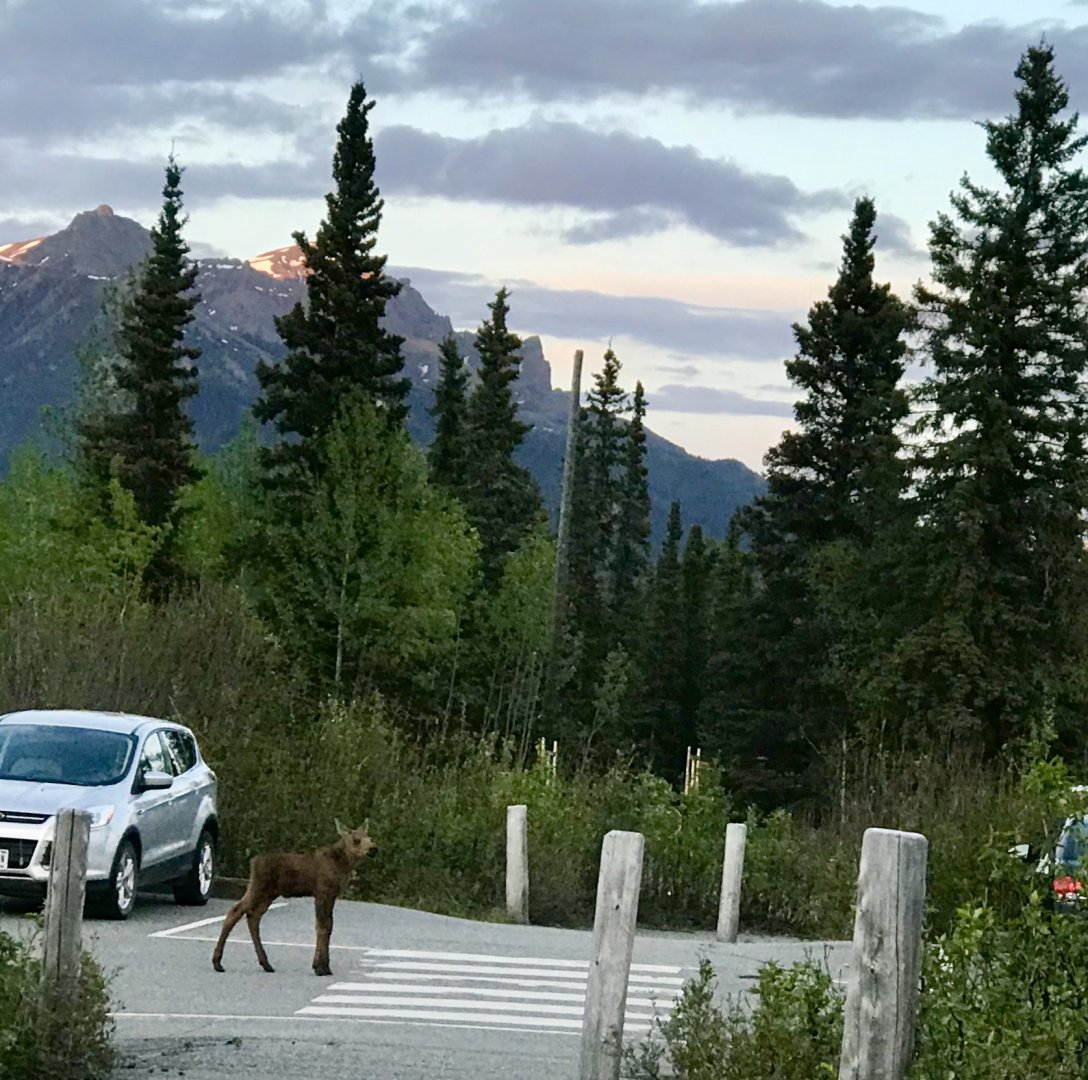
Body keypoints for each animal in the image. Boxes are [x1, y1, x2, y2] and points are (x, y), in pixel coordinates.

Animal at [212, 820, 375, 977]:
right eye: (356, 840)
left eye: (370, 838)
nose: (374, 849)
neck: (344, 866)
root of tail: (253, 862)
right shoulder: (322, 892)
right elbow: (322, 926)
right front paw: (320, 967)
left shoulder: (331, 896)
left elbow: (327, 926)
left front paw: (322, 965)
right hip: (258, 887)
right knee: (235, 911)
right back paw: (217, 962)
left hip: (269, 894)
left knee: (253, 916)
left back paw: (265, 963)